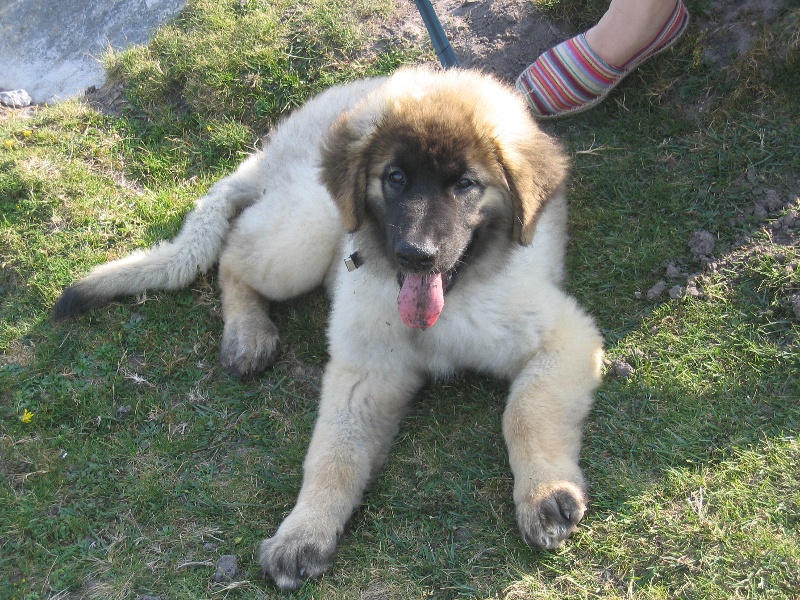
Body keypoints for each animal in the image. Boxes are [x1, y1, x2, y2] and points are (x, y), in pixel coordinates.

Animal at [53, 66, 603, 590]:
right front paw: (303, 532)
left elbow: (526, 412)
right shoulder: (365, 372)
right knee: (232, 254)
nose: (415, 255)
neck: (449, 304)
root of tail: (270, 153)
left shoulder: (564, 338)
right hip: (311, 227)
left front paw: (544, 494)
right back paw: (248, 332)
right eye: (395, 178)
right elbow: (333, 455)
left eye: (466, 185)